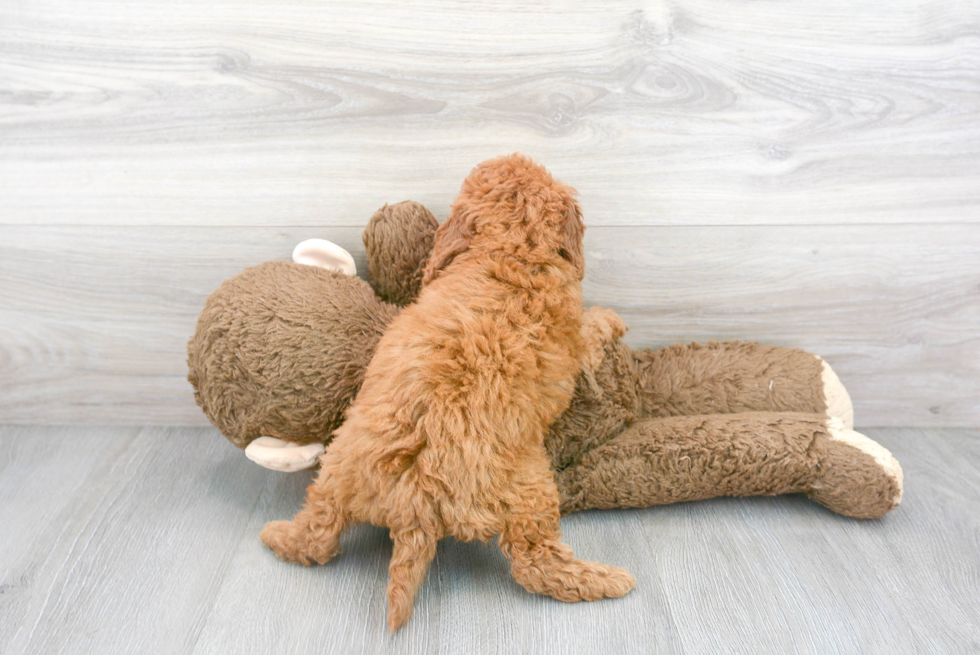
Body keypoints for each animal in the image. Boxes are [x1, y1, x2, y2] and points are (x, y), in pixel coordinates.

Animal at [260, 154, 636, 632]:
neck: (511, 251)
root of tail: (413, 501)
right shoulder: (574, 341)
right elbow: (593, 327)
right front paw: (613, 318)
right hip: (530, 487)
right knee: (534, 563)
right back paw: (606, 579)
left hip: (335, 469)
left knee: (319, 533)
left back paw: (277, 536)